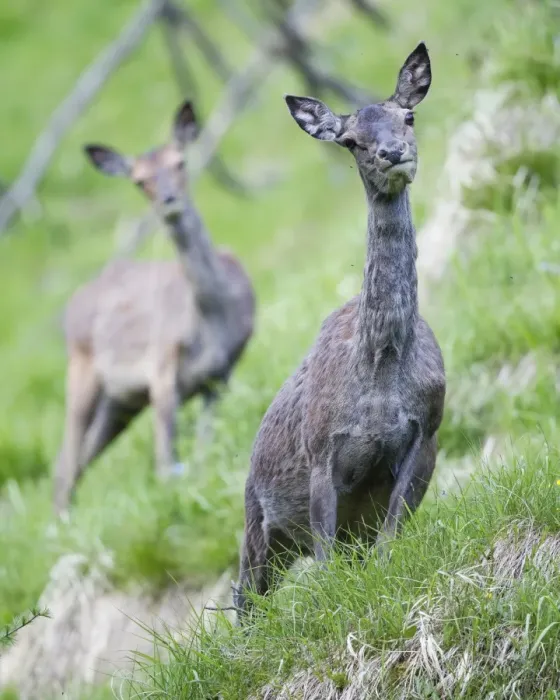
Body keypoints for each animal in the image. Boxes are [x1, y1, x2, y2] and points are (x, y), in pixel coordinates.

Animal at [53, 99, 255, 515]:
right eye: (139, 180)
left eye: (180, 162)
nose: (168, 201)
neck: (214, 320)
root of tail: (71, 305)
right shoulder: (162, 372)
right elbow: (166, 463)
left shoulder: (221, 376)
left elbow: (202, 449)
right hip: (81, 368)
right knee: (65, 459)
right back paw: (61, 520)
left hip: (120, 402)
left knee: (81, 455)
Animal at [234, 43, 445, 619]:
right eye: (350, 140)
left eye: (408, 116)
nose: (392, 154)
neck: (380, 365)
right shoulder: (319, 452)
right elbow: (326, 562)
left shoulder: (427, 432)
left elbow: (390, 542)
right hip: (256, 518)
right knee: (245, 597)